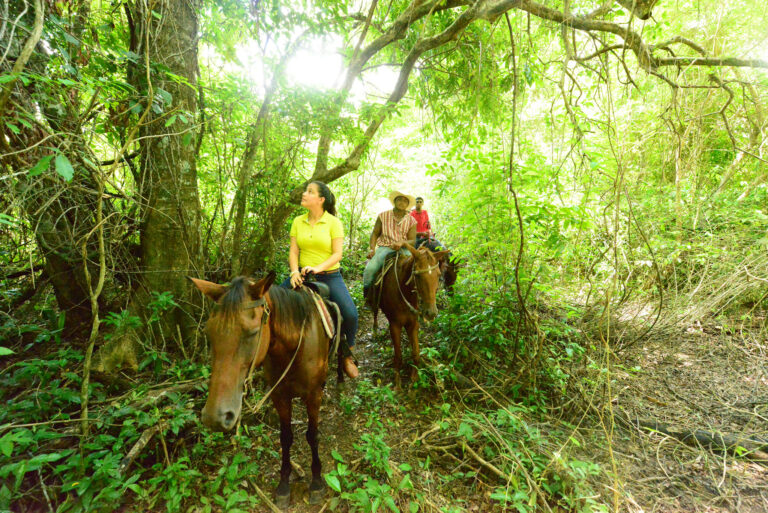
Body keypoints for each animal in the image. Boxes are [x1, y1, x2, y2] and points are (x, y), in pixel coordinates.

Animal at [192, 274, 330, 506]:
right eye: (208, 332)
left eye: (253, 333)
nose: (214, 417)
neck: (294, 346)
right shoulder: (279, 396)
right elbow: (286, 437)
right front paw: (283, 486)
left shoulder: (313, 396)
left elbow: (313, 435)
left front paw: (317, 483)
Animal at [372, 242, 450, 386]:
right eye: (417, 275)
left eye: (438, 274)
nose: (431, 313)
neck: (403, 291)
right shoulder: (395, 325)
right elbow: (398, 355)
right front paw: (397, 383)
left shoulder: (413, 323)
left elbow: (416, 353)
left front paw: (414, 378)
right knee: (374, 311)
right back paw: (375, 330)